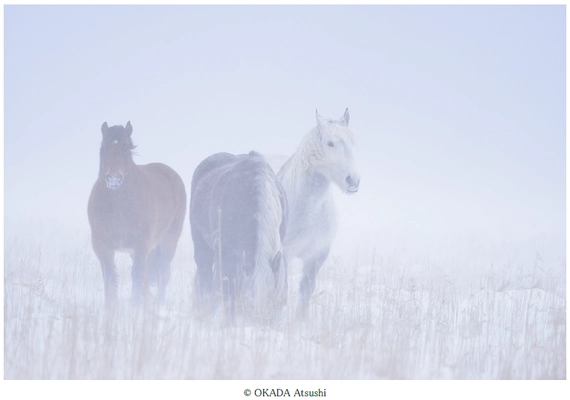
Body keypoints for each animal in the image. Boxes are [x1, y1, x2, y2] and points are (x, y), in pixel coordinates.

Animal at [86, 122, 185, 306]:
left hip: (168, 241)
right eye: (103, 148)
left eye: (126, 148)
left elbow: (137, 278)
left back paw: (159, 304)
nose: (114, 179)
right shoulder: (102, 246)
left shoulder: (141, 245)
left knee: (162, 272)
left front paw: (135, 308)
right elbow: (110, 278)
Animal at [190, 150, 288, 322]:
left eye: (275, 305)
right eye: (248, 307)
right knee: (206, 279)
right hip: (202, 247)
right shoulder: (227, 257)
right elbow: (229, 295)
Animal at [276, 109, 360, 312]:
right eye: (330, 143)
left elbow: (306, 292)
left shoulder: (317, 255)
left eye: (352, 143)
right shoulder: (285, 254)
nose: (353, 180)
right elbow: (283, 293)